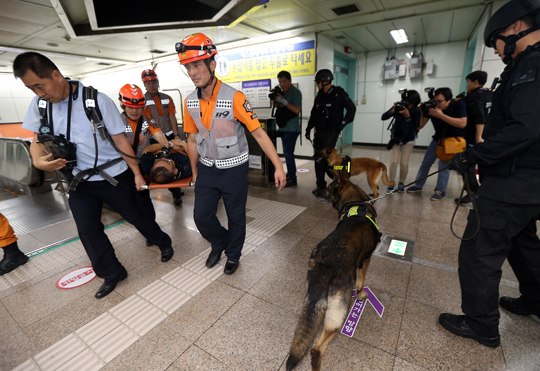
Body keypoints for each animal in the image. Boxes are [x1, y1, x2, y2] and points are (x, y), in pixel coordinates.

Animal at [286, 171, 380, 371]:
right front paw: (361, 294)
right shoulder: (366, 260)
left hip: (312, 299)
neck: (356, 203)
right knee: (316, 349)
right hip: (339, 310)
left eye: (328, 188)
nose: (315, 191)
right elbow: (361, 282)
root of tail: (326, 263)